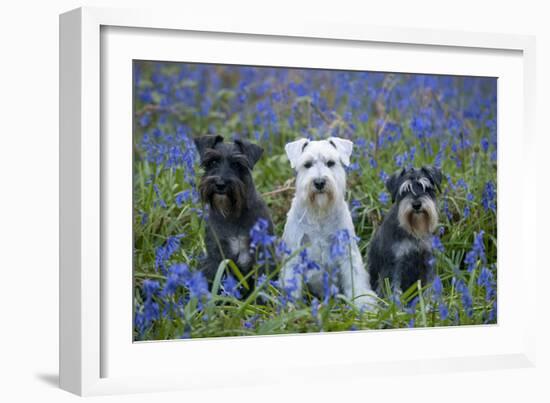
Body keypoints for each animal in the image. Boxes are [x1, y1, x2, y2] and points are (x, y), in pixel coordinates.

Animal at [195, 136, 274, 290]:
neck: (232, 214)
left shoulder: (261, 255)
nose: (220, 184)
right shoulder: (216, 257)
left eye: (237, 164)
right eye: (212, 162)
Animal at [282, 137, 378, 310]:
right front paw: (291, 309)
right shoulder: (294, 255)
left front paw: (363, 305)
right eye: (307, 164)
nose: (319, 182)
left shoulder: (347, 252)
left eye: (331, 163)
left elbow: (355, 280)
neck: (320, 212)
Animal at [368, 165, 446, 296]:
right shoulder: (395, 264)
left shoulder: (428, 259)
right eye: (405, 191)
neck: (414, 231)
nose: (416, 204)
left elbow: (429, 286)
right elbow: (395, 288)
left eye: (426, 188)